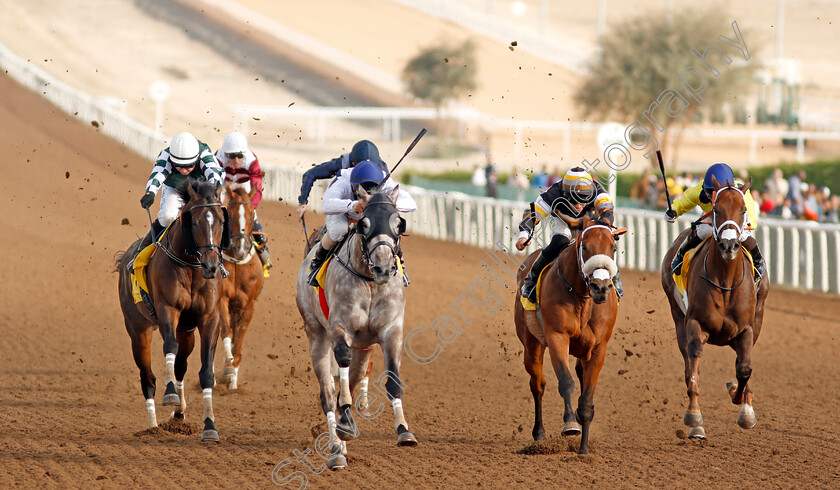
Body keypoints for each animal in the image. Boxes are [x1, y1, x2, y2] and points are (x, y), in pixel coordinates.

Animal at [115, 182, 230, 442]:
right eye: (194, 222)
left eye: (220, 221)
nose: (211, 265)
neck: (192, 268)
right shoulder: (168, 309)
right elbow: (169, 346)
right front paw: (169, 394)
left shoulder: (209, 319)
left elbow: (206, 372)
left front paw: (210, 426)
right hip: (138, 330)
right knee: (148, 378)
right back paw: (153, 426)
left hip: (186, 332)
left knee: (180, 365)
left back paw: (179, 413)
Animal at [294, 186, 418, 468]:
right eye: (364, 224)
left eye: (399, 223)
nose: (384, 267)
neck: (370, 283)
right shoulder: (340, 328)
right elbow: (341, 362)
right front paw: (344, 429)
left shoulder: (391, 331)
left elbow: (393, 378)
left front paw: (404, 430)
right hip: (316, 333)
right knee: (328, 394)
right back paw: (336, 448)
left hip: (364, 346)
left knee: (354, 377)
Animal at [512, 218, 624, 456]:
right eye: (585, 247)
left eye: (613, 247)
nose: (600, 287)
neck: (582, 298)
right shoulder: (557, 337)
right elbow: (565, 382)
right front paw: (570, 424)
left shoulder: (598, 347)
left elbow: (587, 398)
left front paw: (583, 449)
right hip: (531, 344)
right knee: (538, 384)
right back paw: (539, 435)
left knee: (579, 374)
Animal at [660, 177, 772, 440]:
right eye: (716, 209)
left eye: (743, 210)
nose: (729, 245)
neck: (725, 282)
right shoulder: (694, 324)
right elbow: (694, 367)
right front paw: (694, 417)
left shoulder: (746, 329)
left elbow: (744, 369)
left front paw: (744, 407)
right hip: (677, 315)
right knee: (689, 365)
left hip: (758, 316)